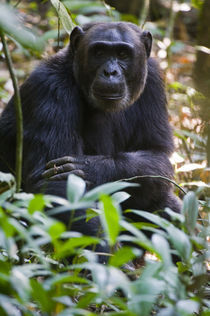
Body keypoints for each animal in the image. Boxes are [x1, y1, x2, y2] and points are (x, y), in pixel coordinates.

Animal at [0, 22, 180, 254]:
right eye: (99, 52)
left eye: (123, 54)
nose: (110, 72)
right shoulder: (50, 89)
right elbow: (57, 187)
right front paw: (102, 258)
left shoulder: (154, 80)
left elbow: (156, 153)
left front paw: (94, 168)